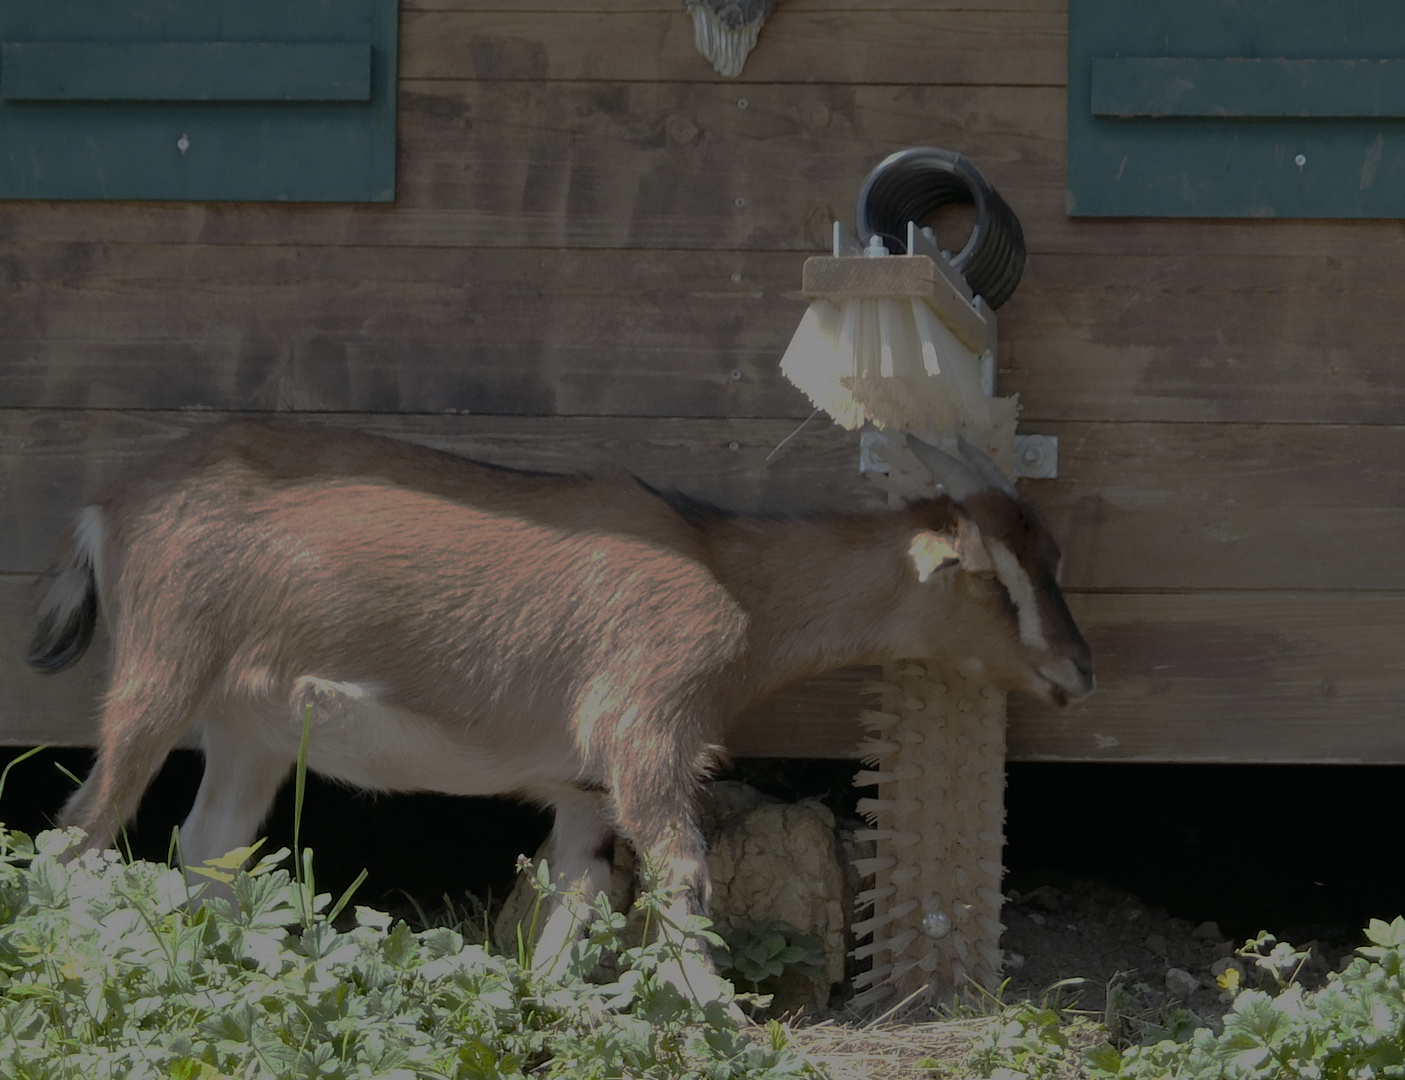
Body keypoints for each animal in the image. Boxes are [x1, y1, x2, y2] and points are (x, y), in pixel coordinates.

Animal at [27, 418, 1090, 994]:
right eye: (994, 579)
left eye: (1051, 555)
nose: (1076, 672)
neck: (733, 579)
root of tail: (107, 506)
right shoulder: (647, 733)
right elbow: (680, 879)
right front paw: (724, 1022)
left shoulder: (584, 789)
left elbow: (575, 900)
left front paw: (546, 1008)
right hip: (160, 676)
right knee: (77, 831)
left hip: (248, 729)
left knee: (207, 845)